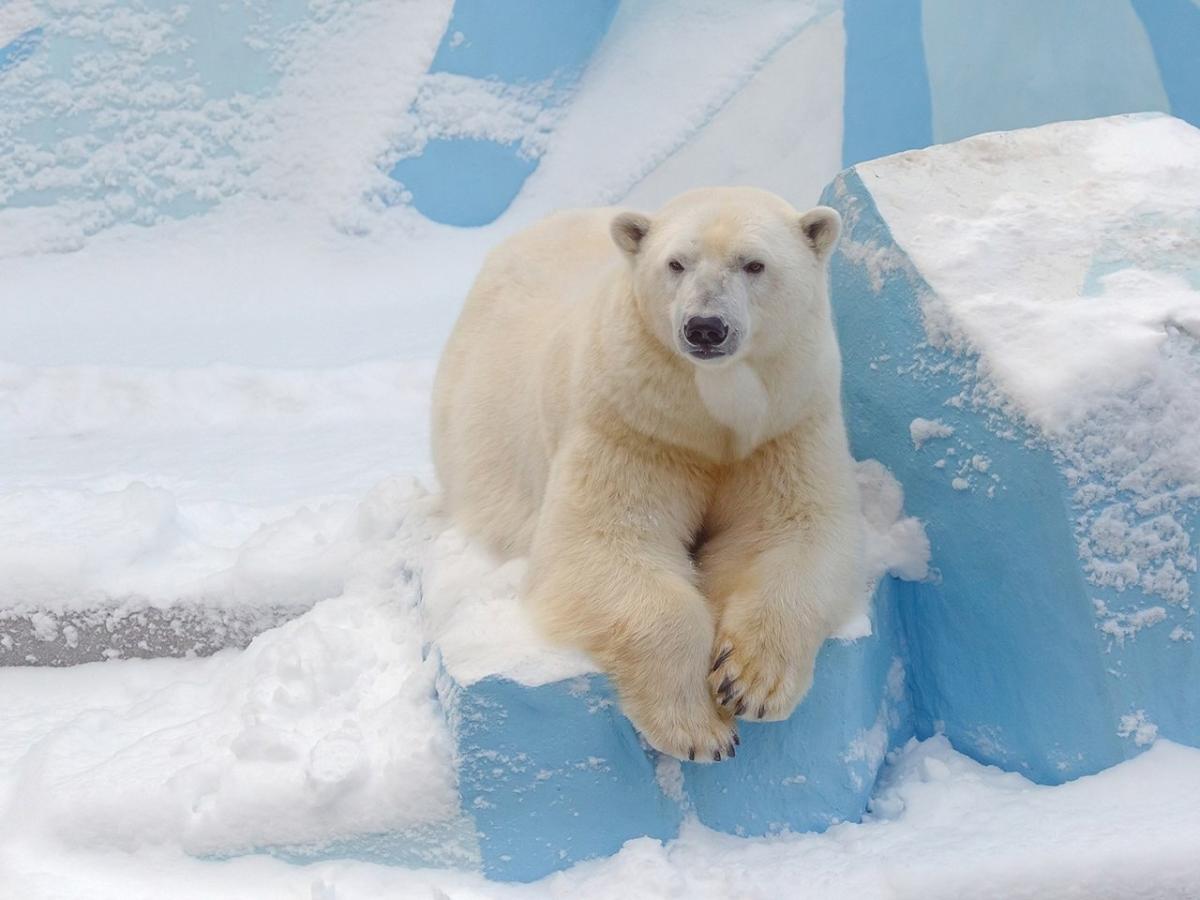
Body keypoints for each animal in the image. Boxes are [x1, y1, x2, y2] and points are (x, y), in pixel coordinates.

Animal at [432, 187, 864, 763]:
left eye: (753, 264)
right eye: (676, 263)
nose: (705, 327)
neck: (708, 418)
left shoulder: (785, 424)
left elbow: (793, 530)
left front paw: (748, 682)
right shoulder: (633, 423)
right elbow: (602, 542)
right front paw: (700, 728)